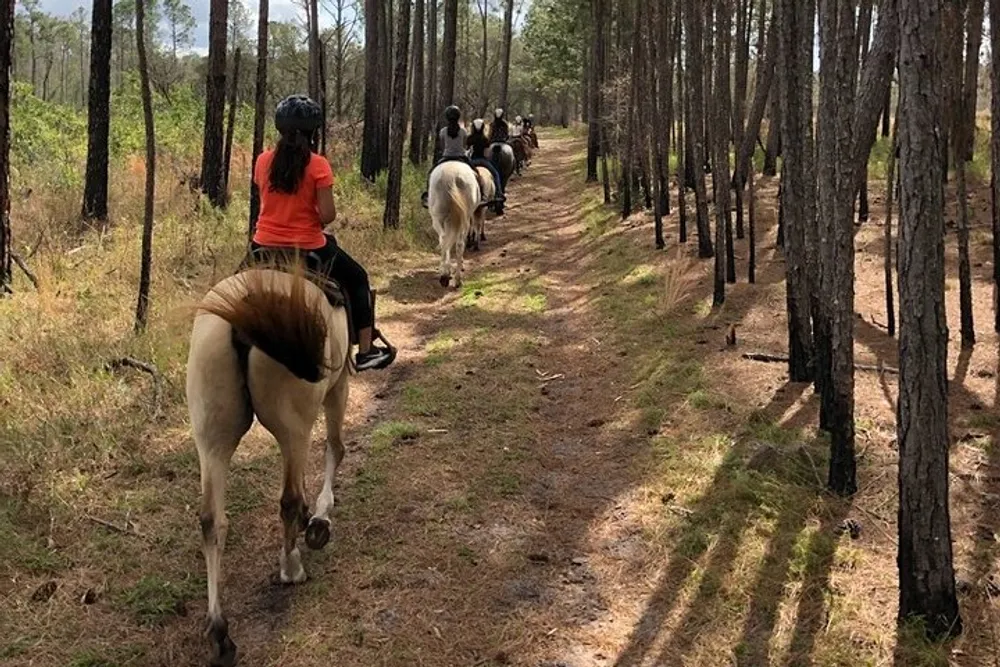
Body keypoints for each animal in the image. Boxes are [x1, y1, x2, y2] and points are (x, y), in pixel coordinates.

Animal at [186, 268, 354, 667]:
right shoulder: (338, 384)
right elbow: (335, 449)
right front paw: (320, 519)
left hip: (212, 436)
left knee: (211, 520)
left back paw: (220, 634)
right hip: (295, 422)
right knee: (288, 498)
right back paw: (291, 567)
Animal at [428, 162, 478, 290]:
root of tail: (452, 177)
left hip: (438, 219)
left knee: (445, 239)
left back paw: (446, 277)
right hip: (464, 219)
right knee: (458, 244)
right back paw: (456, 279)